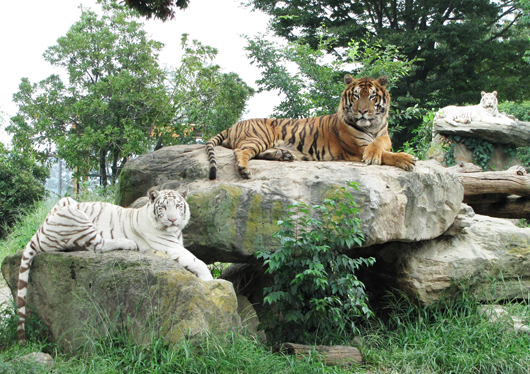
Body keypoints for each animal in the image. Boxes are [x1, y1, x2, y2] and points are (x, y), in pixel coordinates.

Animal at [15, 188, 211, 344]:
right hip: (76, 215)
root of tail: (38, 231)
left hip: (67, 201)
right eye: (163, 207)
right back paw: (129, 243)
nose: (172, 220)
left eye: (178, 206)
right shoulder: (169, 246)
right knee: (98, 245)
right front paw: (209, 280)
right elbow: (198, 261)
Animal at [204, 74, 414, 180]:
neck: (371, 126)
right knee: (241, 151)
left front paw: (383, 154)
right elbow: (387, 155)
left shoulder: (384, 135)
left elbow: (380, 145)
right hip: (259, 137)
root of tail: (234, 124)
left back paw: (283, 155)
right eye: (355, 96)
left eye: (372, 96)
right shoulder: (357, 148)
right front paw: (406, 160)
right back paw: (244, 169)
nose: (362, 112)